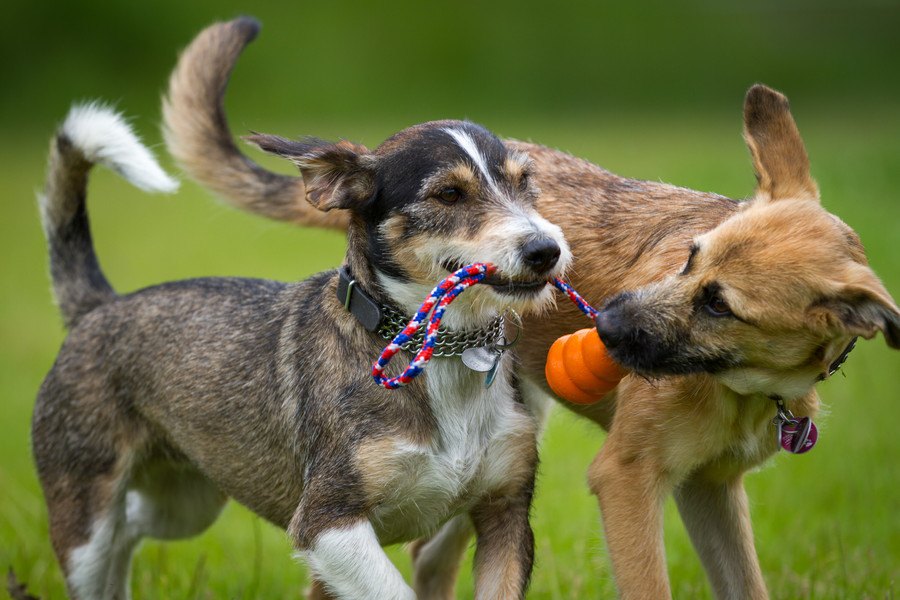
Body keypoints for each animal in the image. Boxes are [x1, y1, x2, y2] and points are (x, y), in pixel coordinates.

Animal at [163, 18, 900, 600]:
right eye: (688, 257)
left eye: (721, 305)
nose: (605, 322)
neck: (746, 387)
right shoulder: (627, 480)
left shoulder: (710, 490)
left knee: (429, 559)